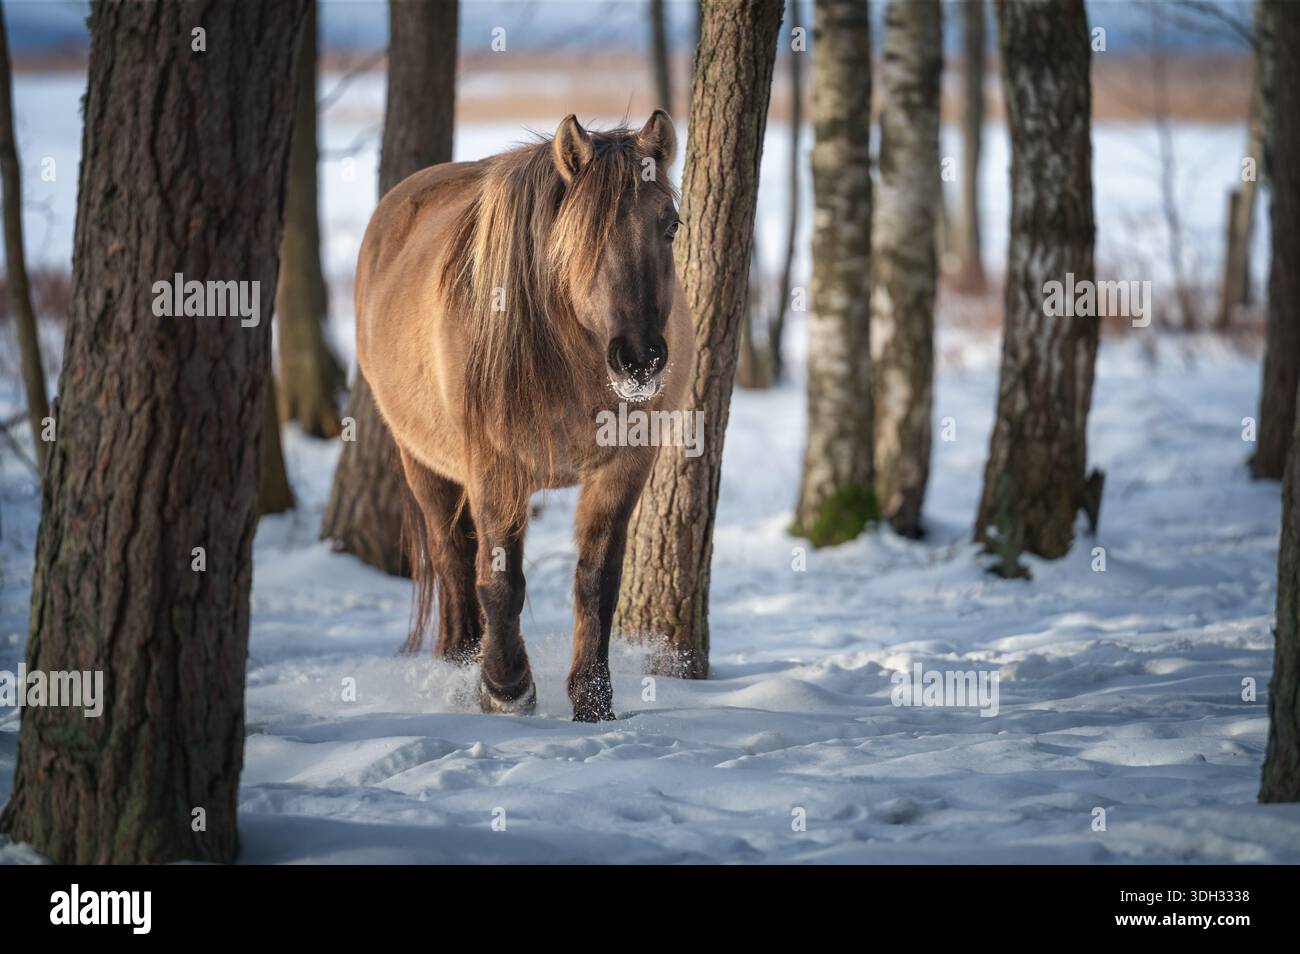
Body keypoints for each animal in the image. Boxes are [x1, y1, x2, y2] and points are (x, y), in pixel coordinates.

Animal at [355, 111, 693, 722]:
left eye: (671, 226)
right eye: (581, 232)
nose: (639, 359)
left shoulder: (624, 467)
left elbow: (597, 582)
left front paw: (593, 701)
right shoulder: (495, 467)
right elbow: (499, 580)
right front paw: (507, 688)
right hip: (422, 462)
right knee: (453, 560)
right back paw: (461, 666)